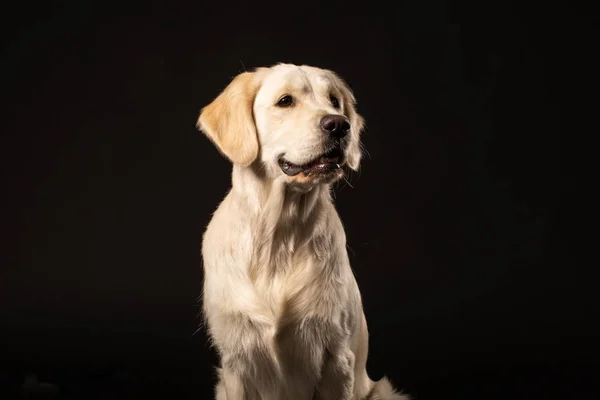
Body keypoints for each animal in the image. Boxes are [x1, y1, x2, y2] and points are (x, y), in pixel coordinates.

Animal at [197, 64, 408, 398]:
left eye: (334, 100)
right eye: (285, 101)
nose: (340, 125)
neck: (278, 237)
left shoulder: (337, 359)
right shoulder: (236, 362)